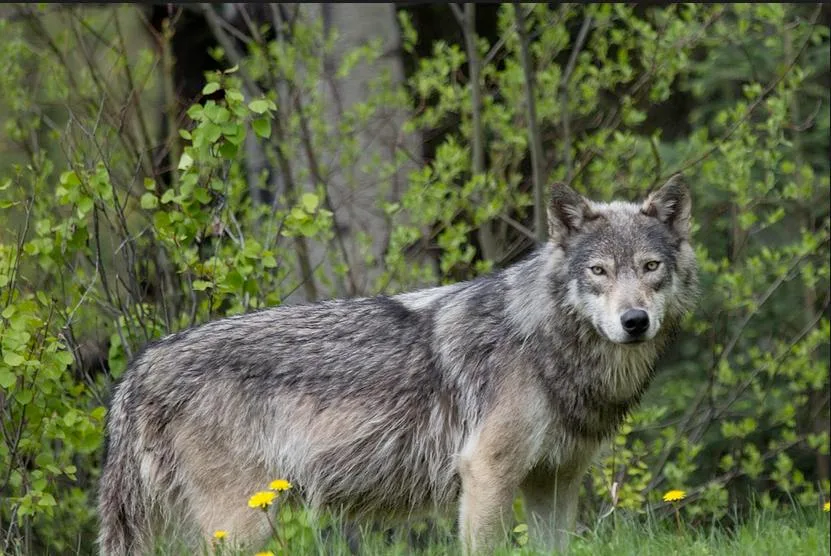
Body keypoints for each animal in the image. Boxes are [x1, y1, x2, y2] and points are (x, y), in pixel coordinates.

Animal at [98, 175, 698, 555]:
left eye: (650, 267)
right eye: (598, 271)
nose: (635, 321)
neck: (547, 343)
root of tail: (140, 366)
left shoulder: (555, 481)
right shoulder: (487, 473)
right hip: (242, 524)